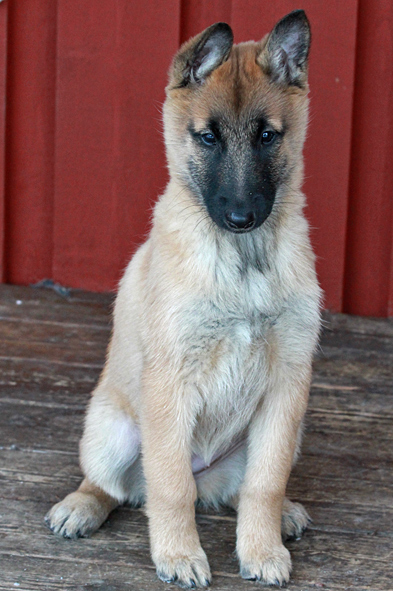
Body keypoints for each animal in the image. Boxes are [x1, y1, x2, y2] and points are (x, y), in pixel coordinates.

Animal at [46, 11, 322, 588]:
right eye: (208, 138)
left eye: (267, 136)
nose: (241, 217)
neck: (242, 261)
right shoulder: (170, 382)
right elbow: (171, 486)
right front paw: (178, 556)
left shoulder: (287, 386)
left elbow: (265, 482)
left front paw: (260, 549)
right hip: (112, 429)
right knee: (120, 486)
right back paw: (80, 507)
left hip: (286, 431)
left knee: (237, 488)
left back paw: (283, 515)